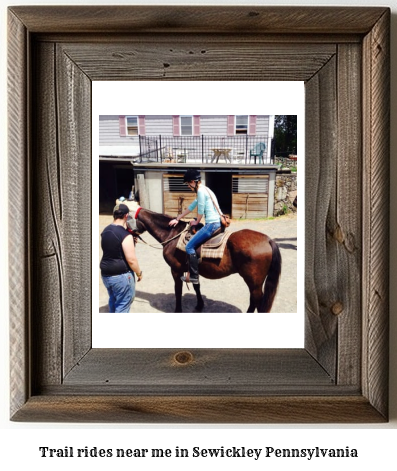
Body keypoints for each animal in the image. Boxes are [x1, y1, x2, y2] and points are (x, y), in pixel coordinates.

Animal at [128, 207, 280, 314]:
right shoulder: (192, 270)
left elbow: (178, 290)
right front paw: (199, 305)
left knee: (256, 299)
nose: (130, 237)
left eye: (127, 220)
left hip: (253, 282)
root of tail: (268, 240)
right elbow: (196, 286)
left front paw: (178, 310)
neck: (172, 234)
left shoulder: (175, 270)